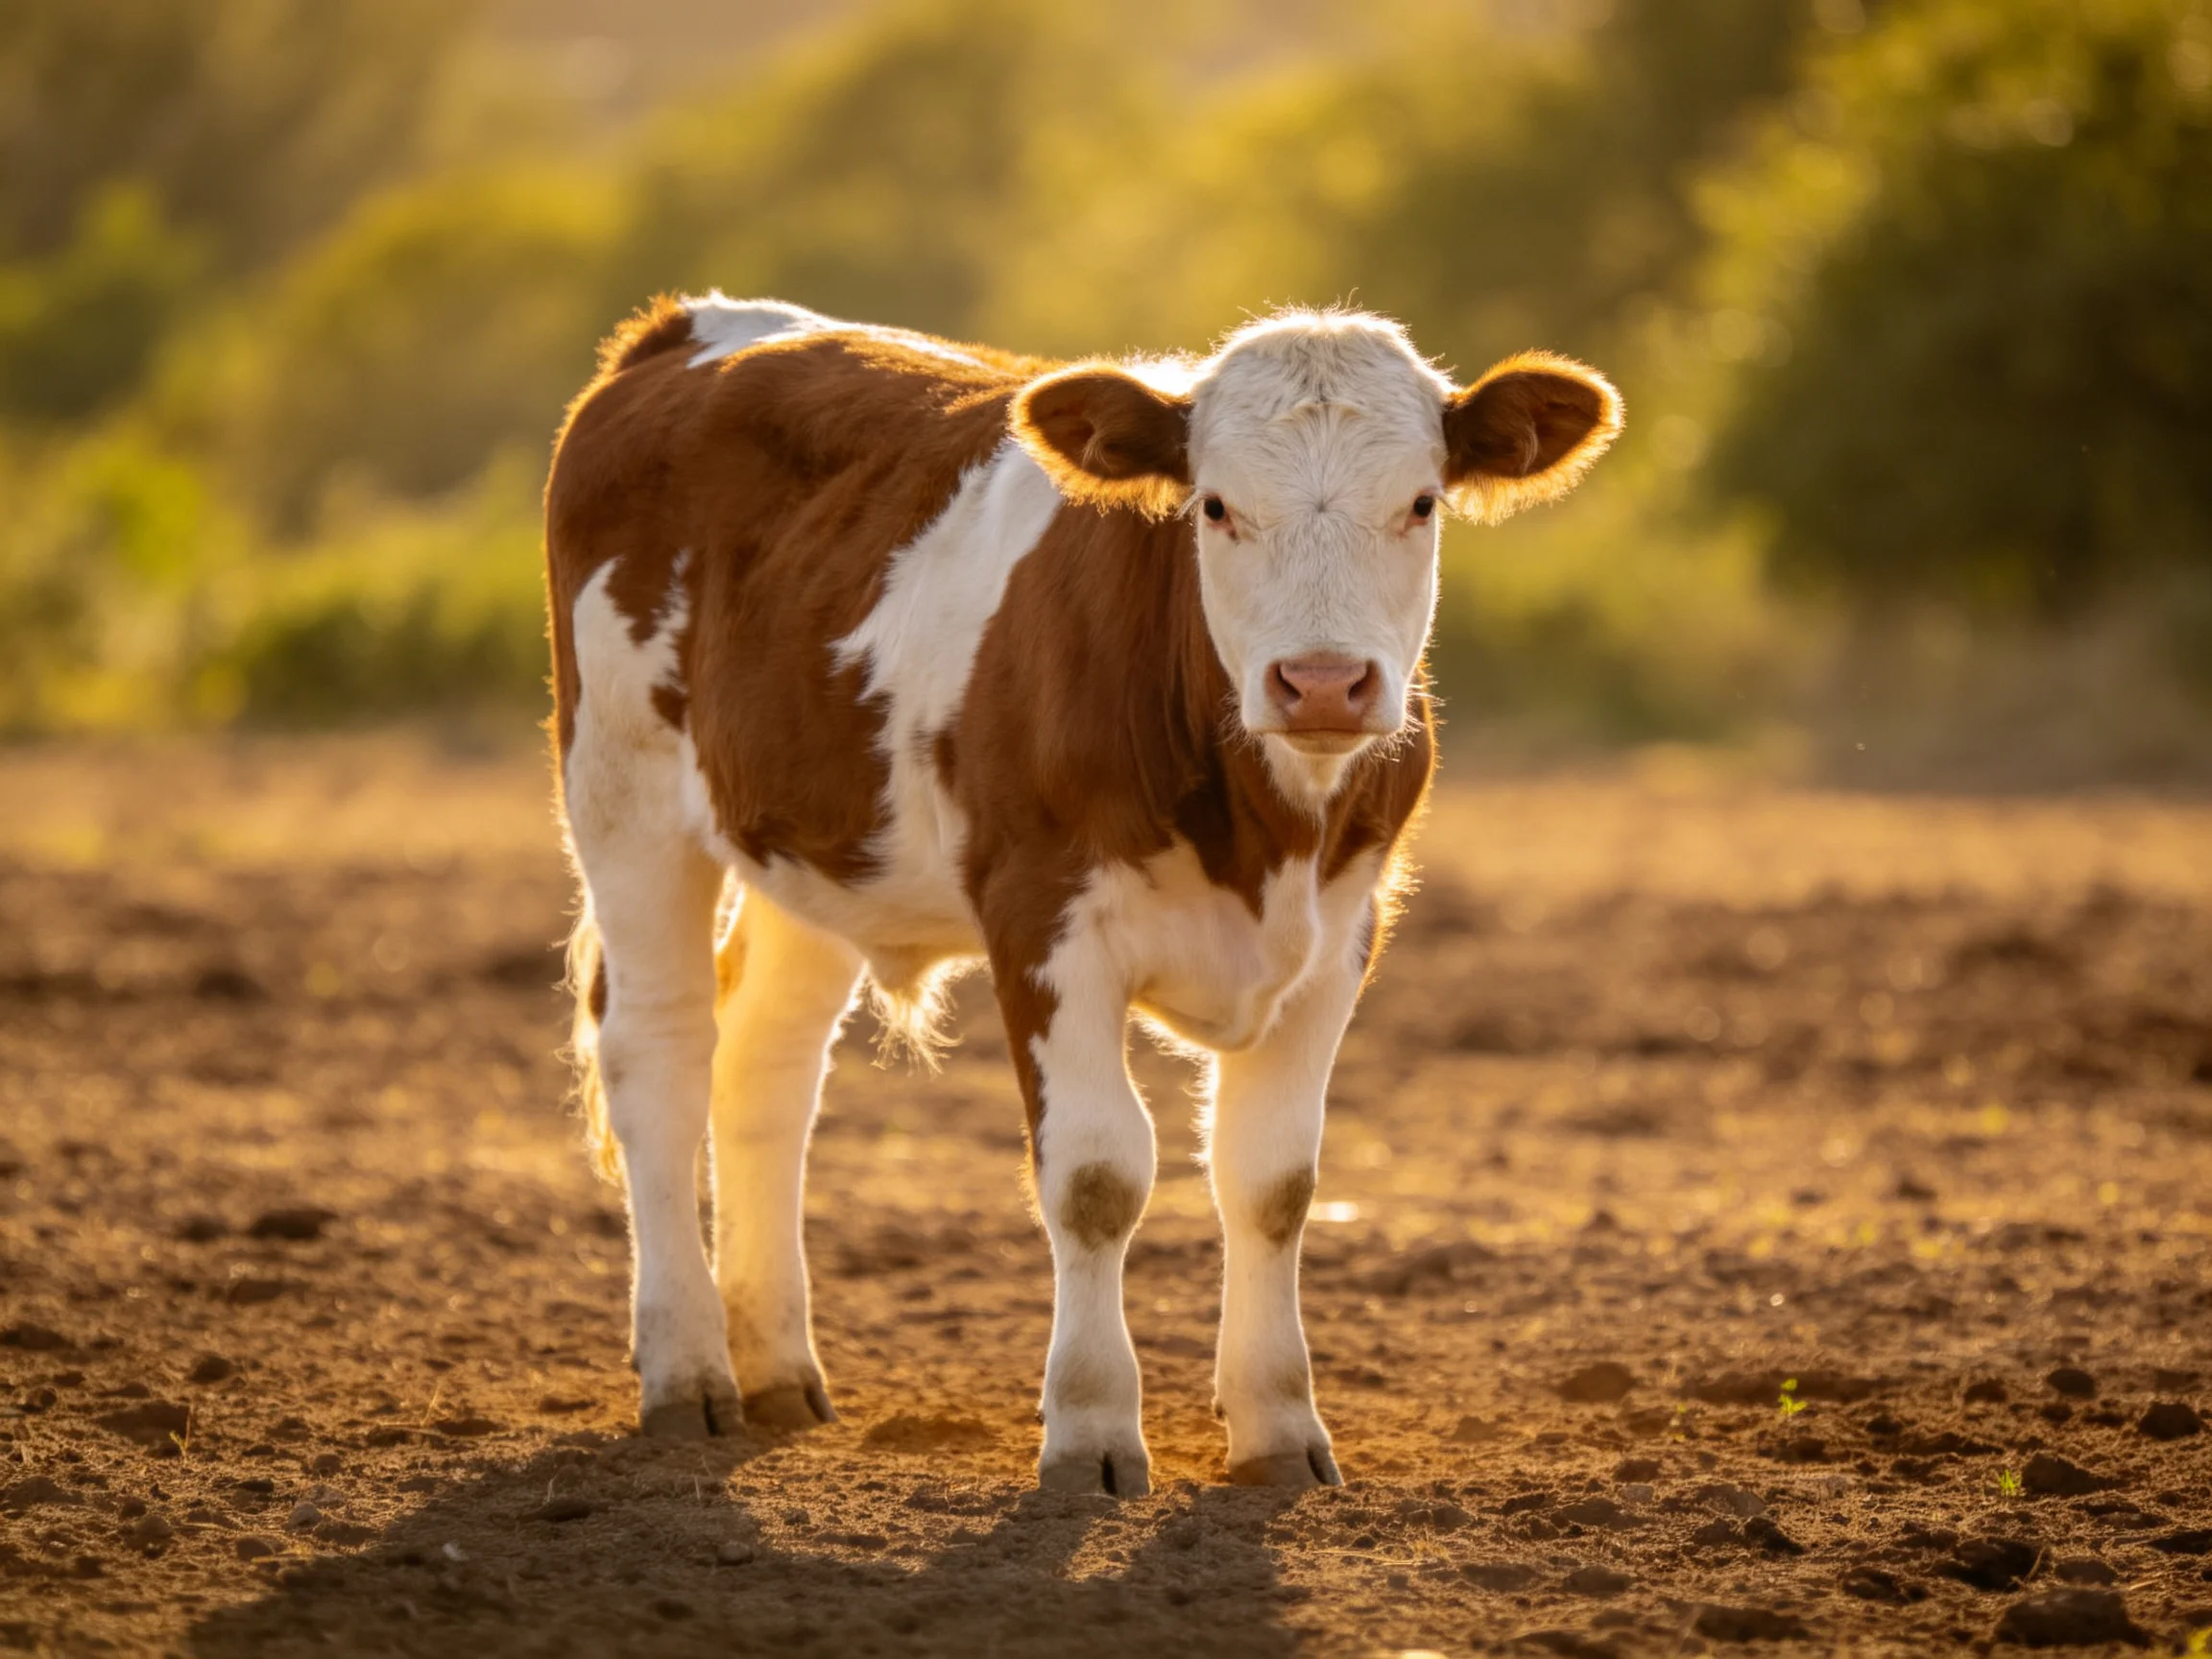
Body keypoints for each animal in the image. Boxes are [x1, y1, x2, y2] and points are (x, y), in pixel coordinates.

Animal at [543, 294, 1619, 1495]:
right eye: (1215, 506)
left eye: (1422, 501)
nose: (1323, 684)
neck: (1263, 829)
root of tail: (691, 324)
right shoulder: (1043, 918)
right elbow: (1098, 1176)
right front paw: (1093, 1428)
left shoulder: (1342, 934)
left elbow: (1273, 1182)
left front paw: (1279, 1427)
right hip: (623, 793)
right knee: (660, 1058)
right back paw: (687, 1371)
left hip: (808, 854)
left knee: (765, 1069)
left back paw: (777, 1365)